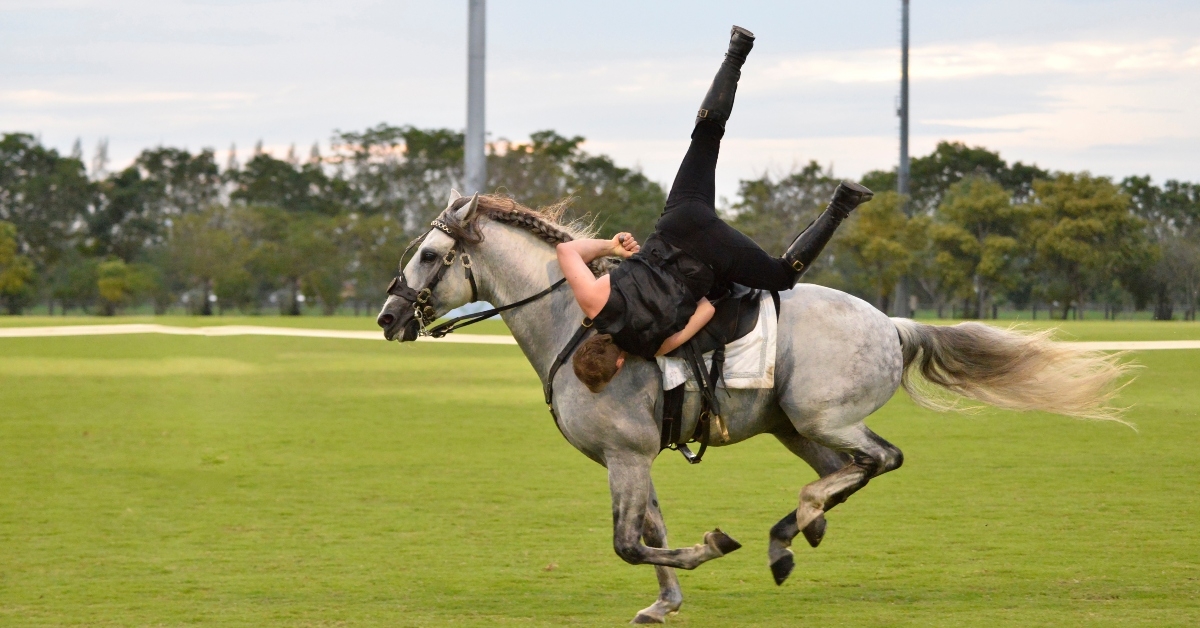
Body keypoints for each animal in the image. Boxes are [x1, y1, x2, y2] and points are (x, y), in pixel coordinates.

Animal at [376, 192, 1130, 624]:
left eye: (431, 255)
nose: (387, 317)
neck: (576, 321)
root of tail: (893, 323)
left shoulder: (624, 456)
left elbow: (631, 542)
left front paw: (711, 547)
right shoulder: (636, 459)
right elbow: (650, 533)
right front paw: (667, 602)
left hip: (823, 418)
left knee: (882, 457)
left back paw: (794, 523)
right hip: (797, 428)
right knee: (850, 470)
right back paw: (800, 528)